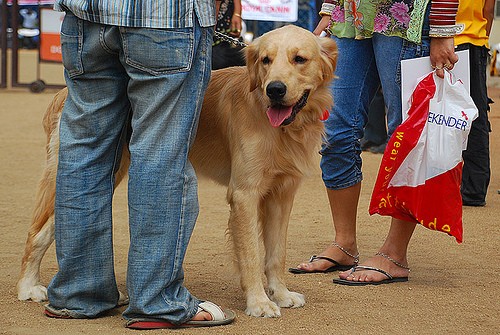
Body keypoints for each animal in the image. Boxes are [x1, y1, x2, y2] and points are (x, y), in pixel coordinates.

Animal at [17, 25, 338, 318]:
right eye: (265, 60)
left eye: (299, 59)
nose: (275, 89)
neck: (280, 126)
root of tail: (63, 92)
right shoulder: (245, 194)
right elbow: (251, 254)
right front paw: (258, 303)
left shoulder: (282, 194)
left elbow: (276, 253)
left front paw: (281, 294)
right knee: (37, 233)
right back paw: (28, 286)